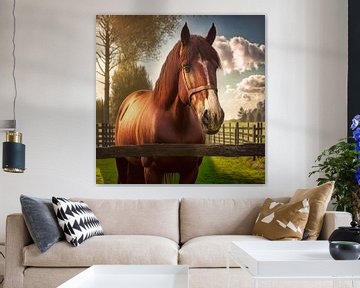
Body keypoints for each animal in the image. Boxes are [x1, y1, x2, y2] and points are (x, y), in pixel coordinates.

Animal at [114, 23, 222, 183]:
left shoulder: (191, 171)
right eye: (186, 68)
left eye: (215, 67)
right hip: (121, 161)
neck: (177, 124)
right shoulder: (151, 171)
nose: (214, 115)